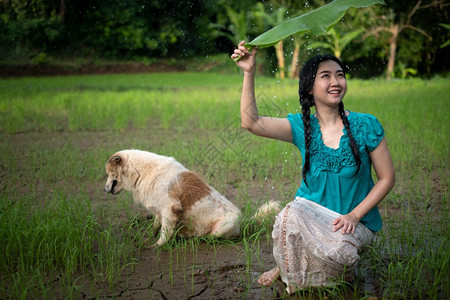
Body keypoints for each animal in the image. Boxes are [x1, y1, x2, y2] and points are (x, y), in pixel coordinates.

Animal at [105, 150, 282, 246]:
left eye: (109, 173)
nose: (104, 189)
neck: (141, 171)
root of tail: (245, 222)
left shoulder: (170, 209)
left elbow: (165, 232)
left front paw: (157, 245)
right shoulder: (158, 211)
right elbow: (156, 226)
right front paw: (150, 236)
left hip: (223, 227)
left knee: (210, 237)